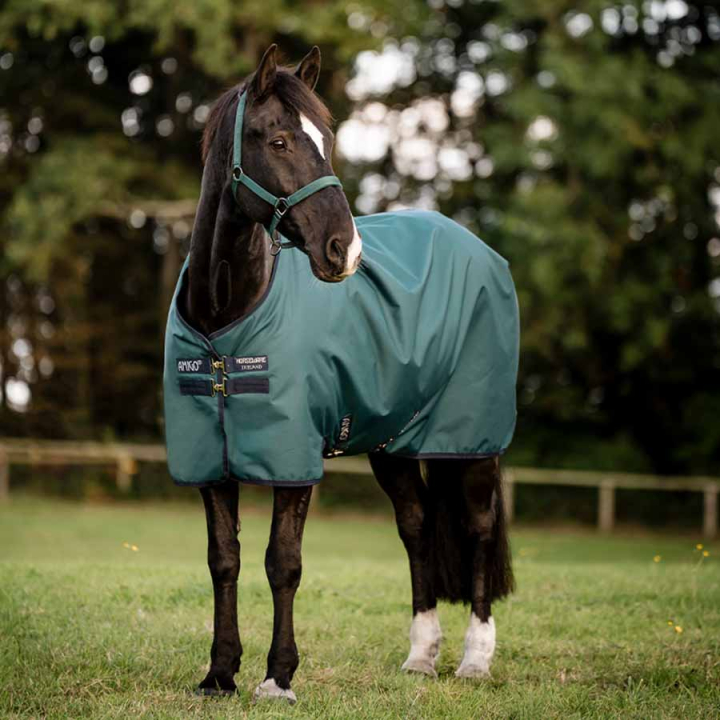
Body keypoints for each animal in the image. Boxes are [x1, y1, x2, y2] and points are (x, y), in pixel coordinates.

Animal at [164, 44, 517, 703]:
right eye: (278, 140)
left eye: (326, 140)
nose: (344, 251)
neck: (226, 318)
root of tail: (478, 248)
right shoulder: (208, 461)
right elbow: (223, 559)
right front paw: (220, 674)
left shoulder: (293, 456)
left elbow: (283, 561)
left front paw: (278, 677)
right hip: (393, 444)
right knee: (417, 526)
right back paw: (421, 656)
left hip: (472, 441)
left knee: (479, 529)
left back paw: (475, 659)